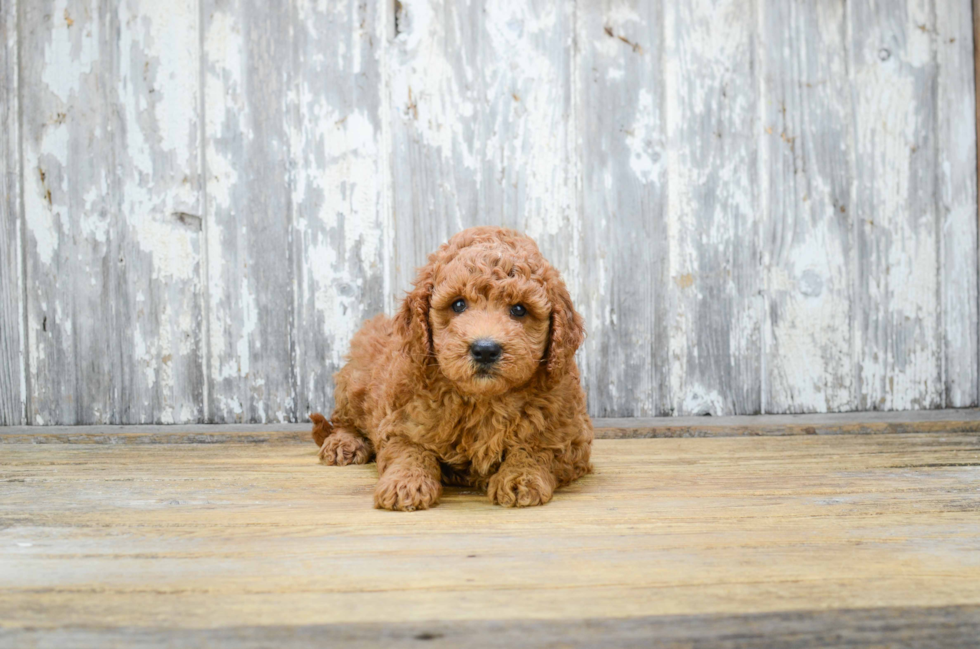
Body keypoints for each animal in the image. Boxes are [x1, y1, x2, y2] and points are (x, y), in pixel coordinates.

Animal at [310, 228, 592, 512]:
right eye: (458, 305)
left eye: (519, 309)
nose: (485, 350)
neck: (483, 400)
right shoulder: (399, 421)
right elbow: (409, 450)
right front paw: (405, 483)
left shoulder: (571, 435)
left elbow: (536, 449)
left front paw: (520, 478)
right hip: (355, 381)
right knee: (343, 419)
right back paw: (343, 443)